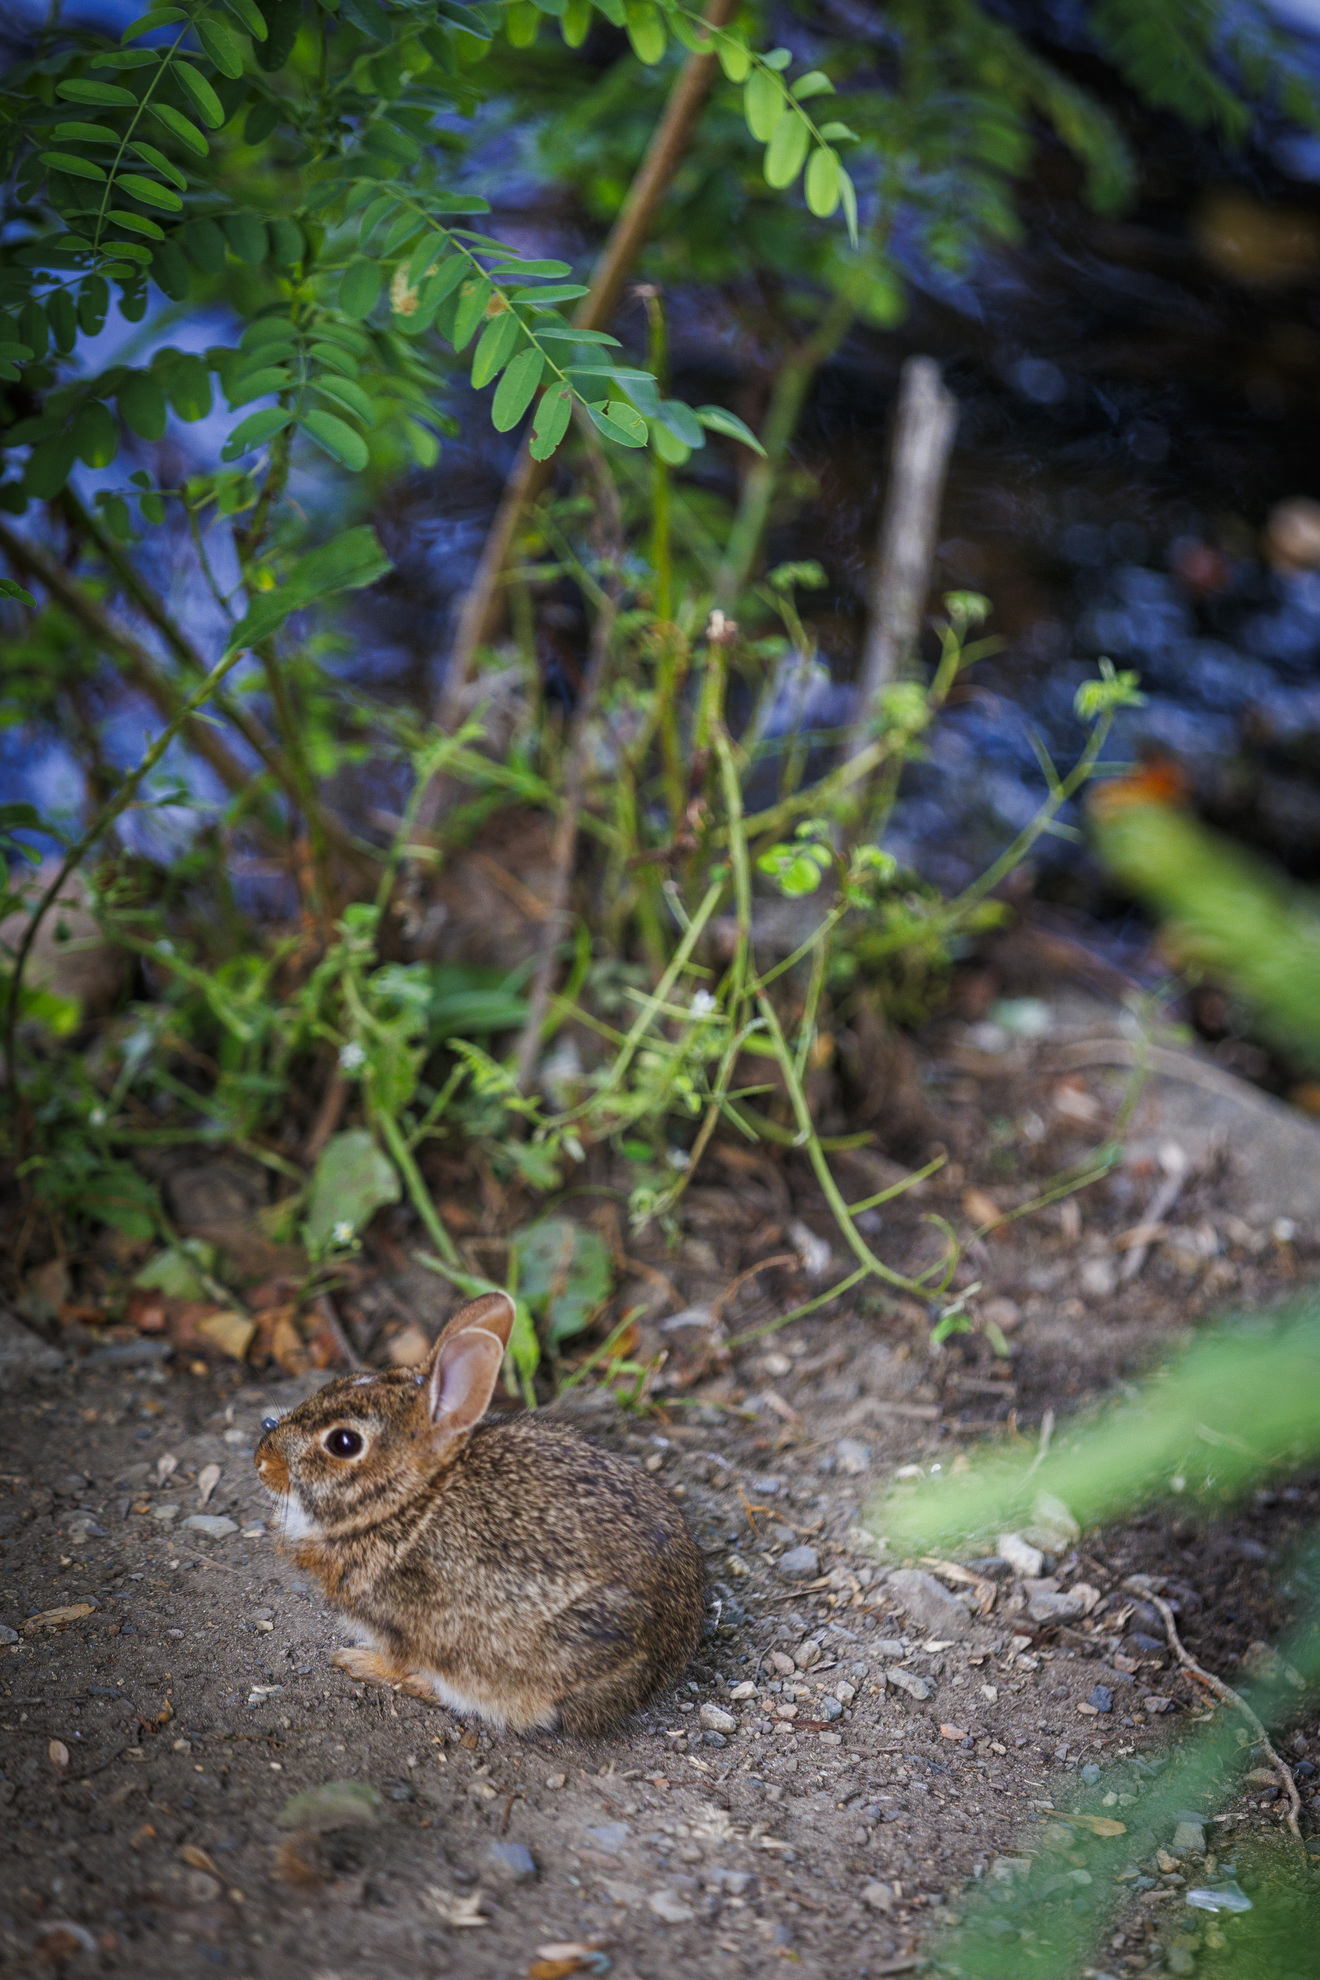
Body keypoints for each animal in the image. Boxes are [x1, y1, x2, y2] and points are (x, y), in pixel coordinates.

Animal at [253, 1290, 705, 1735]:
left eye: (343, 1443)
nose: (262, 1461)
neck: (410, 1502)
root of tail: (666, 1660)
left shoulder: (402, 1627)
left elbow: (396, 1662)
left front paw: (356, 1661)